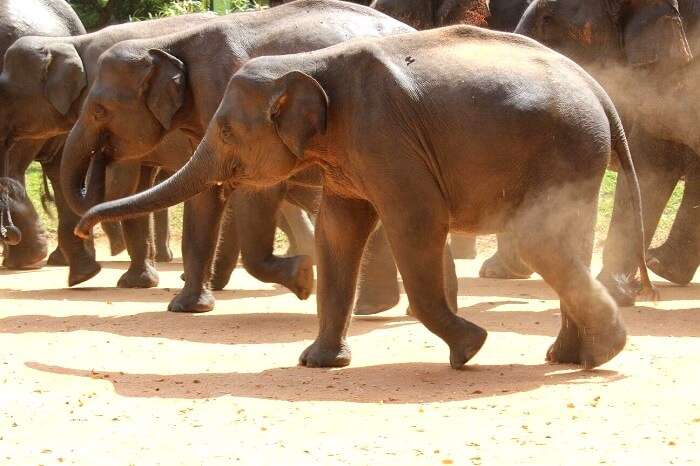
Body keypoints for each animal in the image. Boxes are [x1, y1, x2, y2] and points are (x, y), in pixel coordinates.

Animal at [0, 11, 216, 284]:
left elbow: (123, 183)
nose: (9, 233)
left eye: (5, 95)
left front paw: (119, 276)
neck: (70, 44)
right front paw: (96, 277)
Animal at [57, 0, 418, 314]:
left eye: (99, 110)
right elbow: (204, 198)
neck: (165, 43)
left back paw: (370, 308)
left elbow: (254, 190)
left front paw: (303, 278)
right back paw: (382, 308)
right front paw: (186, 308)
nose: (83, 231)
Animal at [79, 27, 652, 372]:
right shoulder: (350, 156)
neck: (310, 63)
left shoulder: (387, 138)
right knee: (562, 240)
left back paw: (594, 356)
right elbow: (339, 232)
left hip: (568, 148)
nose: (84, 226)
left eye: (224, 130)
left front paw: (470, 349)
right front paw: (318, 361)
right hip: (576, 154)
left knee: (542, 238)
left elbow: (415, 224)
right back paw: (569, 357)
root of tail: (600, 91)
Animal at [516, 0, 700, 304]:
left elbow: (649, 162)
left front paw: (614, 292)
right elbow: (654, 161)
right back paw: (661, 266)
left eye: (547, 20)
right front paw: (619, 292)